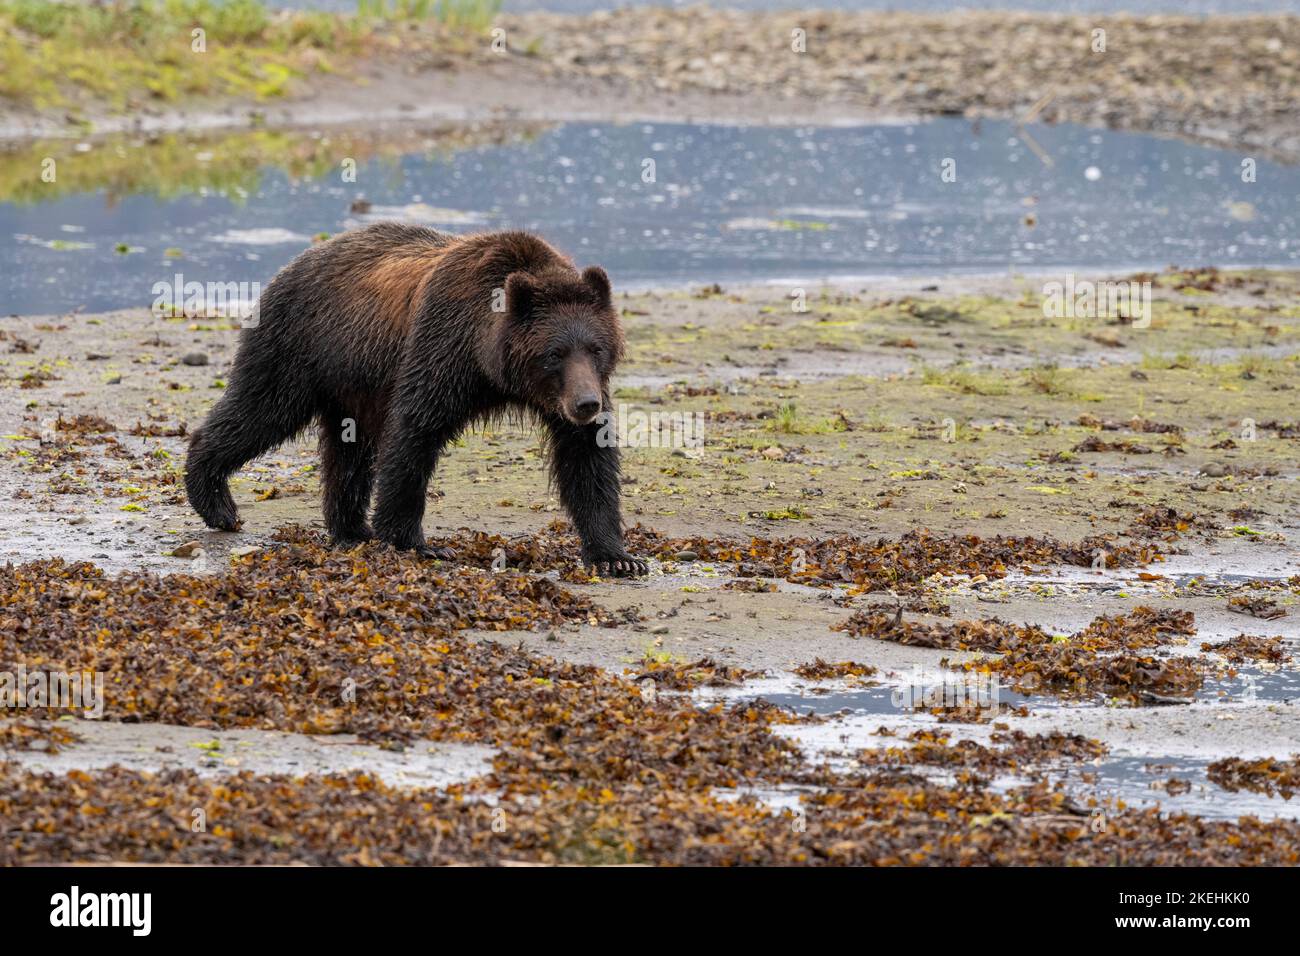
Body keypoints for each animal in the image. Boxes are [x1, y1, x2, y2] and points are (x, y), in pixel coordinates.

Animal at [184, 222, 648, 577]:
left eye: (596, 348)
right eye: (554, 353)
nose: (586, 404)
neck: (488, 364)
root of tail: (293, 262)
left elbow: (586, 458)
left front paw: (617, 557)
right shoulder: (441, 348)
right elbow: (414, 433)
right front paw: (416, 542)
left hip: (351, 387)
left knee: (349, 452)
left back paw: (352, 529)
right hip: (297, 348)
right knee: (259, 410)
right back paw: (217, 503)